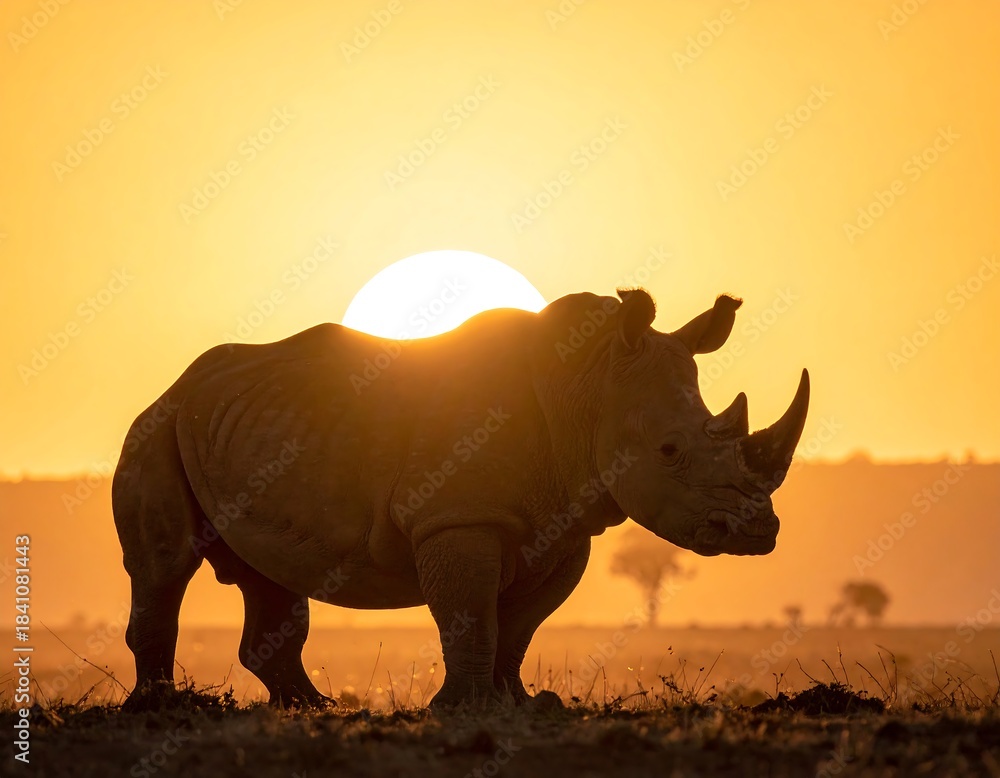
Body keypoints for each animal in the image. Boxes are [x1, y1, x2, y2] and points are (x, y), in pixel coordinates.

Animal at [113, 288, 809, 709]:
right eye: (668, 451)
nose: (759, 532)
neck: (586, 386)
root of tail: (175, 386)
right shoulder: (457, 517)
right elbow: (470, 612)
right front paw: (462, 710)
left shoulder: (563, 526)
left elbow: (521, 624)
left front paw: (523, 706)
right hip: (155, 429)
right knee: (165, 565)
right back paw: (160, 709)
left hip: (245, 432)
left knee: (270, 575)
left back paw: (311, 708)